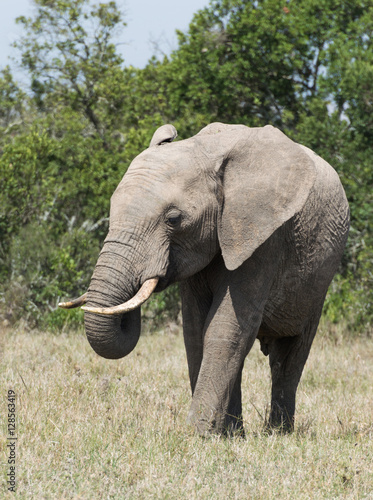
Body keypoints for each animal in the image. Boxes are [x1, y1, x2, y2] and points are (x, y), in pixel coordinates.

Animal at [60, 123, 348, 436]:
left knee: (289, 356)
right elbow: (195, 329)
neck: (206, 150)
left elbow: (227, 326)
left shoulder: (264, 237)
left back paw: (278, 433)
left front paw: (198, 435)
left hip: (319, 281)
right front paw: (223, 436)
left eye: (173, 219)